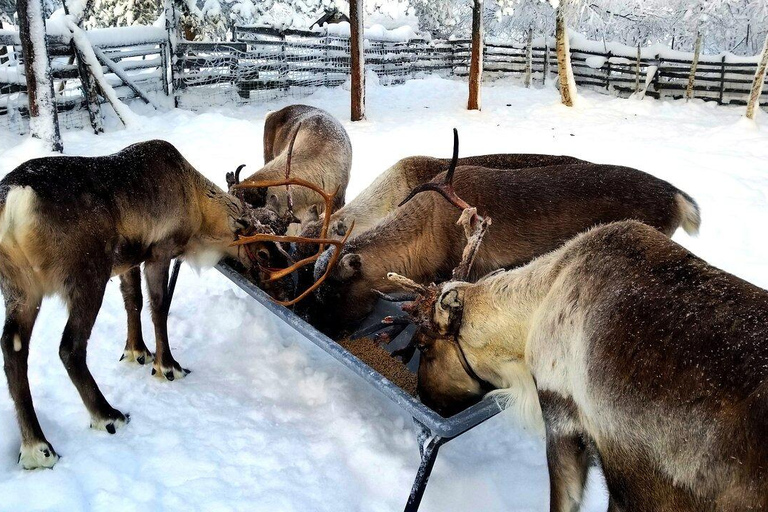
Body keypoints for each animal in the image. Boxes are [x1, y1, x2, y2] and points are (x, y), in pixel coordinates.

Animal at [0, 139, 271, 470]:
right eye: (258, 245)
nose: (265, 274)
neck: (194, 199)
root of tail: (15, 198)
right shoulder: (159, 252)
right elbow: (158, 308)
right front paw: (167, 366)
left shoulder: (127, 262)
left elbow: (134, 302)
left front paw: (136, 352)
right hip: (88, 277)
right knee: (70, 346)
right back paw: (107, 415)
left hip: (21, 291)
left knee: (12, 348)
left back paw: (37, 448)